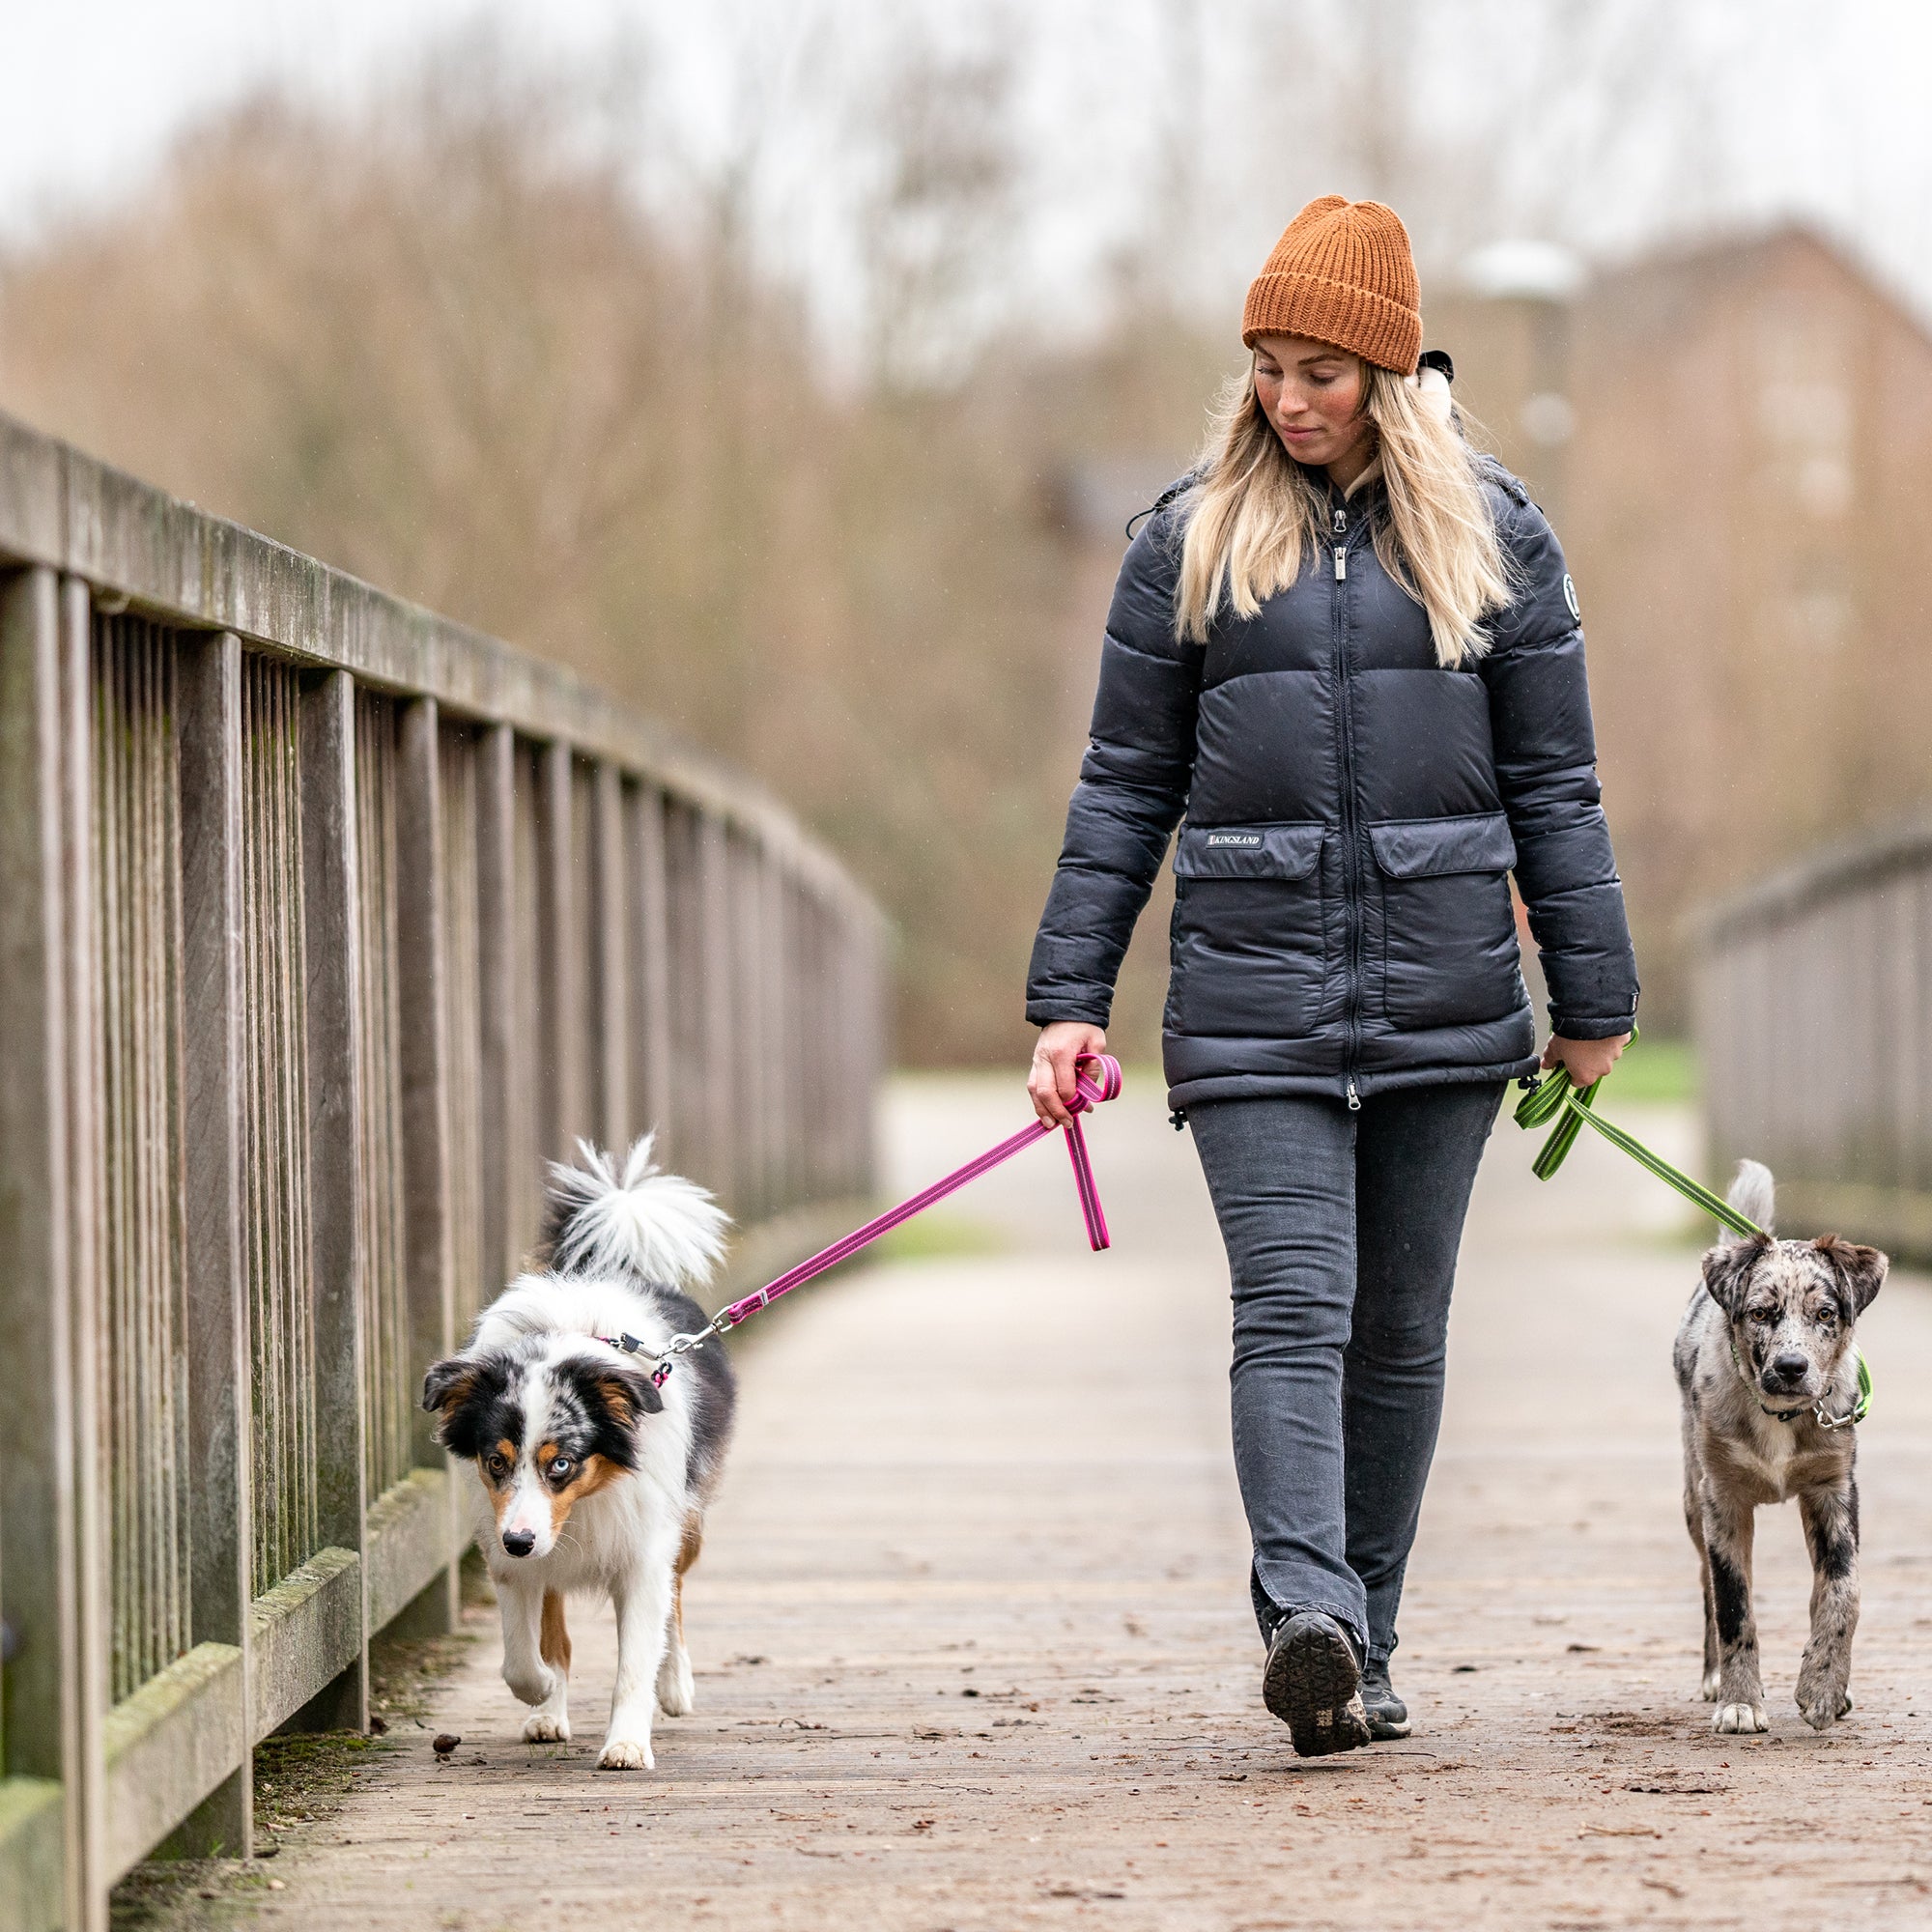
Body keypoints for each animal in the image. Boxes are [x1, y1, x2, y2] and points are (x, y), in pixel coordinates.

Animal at [423, 1136, 730, 1770]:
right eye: (496, 1461)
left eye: (561, 1462)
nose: (520, 1541)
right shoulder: (511, 1548)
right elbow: (524, 1654)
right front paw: (541, 1692)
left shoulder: (643, 1548)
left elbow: (637, 1654)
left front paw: (628, 1744)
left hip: (687, 1521)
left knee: (677, 1597)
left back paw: (676, 1684)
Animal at [1677, 1167, 1886, 1747]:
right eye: (1760, 1313)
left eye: (1825, 1313)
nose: (1792, 1367)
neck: (1783, 1419)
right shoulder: (1722, 1501)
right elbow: (1733, 1604)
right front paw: (1740, 1704)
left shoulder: (1834, 1489)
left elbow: (1842, 1590)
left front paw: (1822, 1689)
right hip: (1692, 1498)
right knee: (1706, 1586)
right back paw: (1713, 1680)